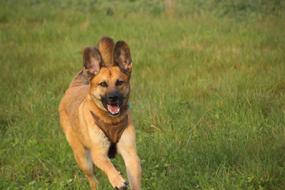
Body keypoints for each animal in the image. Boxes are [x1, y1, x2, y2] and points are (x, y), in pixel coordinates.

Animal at [58, 36, 141, 189]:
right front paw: (117, 180)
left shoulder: (130, 154)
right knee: (93, 181)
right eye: (103, 84)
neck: (111, 121)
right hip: (84, 159)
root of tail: (75, 85)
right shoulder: (98, 154)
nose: (113, 98)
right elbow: (108, 166)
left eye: (120, 82)